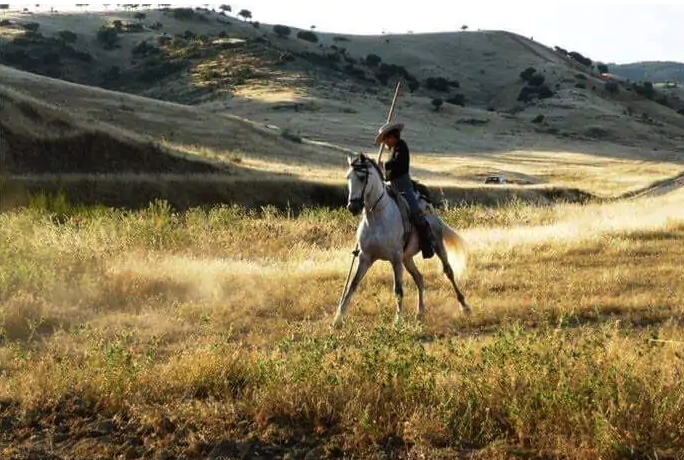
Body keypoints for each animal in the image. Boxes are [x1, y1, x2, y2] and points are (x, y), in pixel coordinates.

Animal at [330, 153, 470, 328]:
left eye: (362, 177)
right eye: (348, 177)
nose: (352, 207)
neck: (378, 216)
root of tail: (431, 211)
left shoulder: (395, 259)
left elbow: (398, 289)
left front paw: (398, 320)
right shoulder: (365, 257)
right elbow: (352, 285)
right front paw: (338, 318)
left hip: (437, 245)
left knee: (448, 272)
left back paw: (464, 306)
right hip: (407, 258)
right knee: (419, 278)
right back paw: (420, 311)